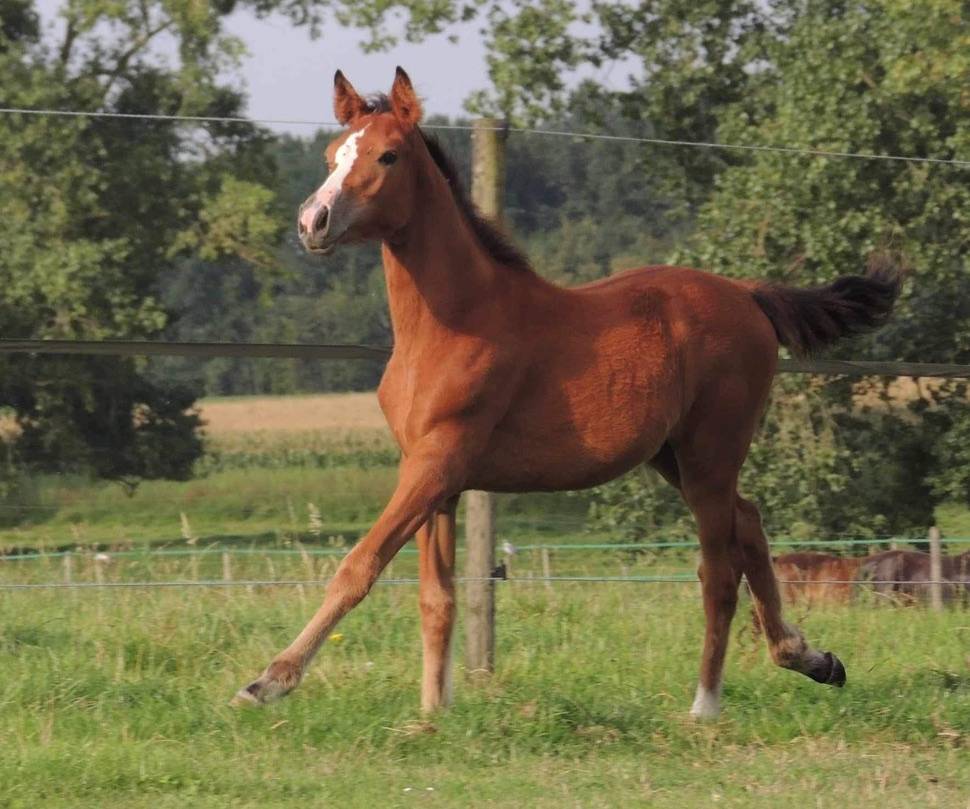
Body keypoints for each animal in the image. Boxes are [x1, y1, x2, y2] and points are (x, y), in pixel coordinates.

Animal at [232, 67, 901, 719]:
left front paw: (268, 682)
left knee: (718, 570)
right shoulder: (431, 475)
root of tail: (748, 294)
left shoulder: (435, 462)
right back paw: (811, 659)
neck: (453, 323)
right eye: (330, 156)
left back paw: (705, 706)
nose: (312, 222)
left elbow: (360, 565)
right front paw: (432, 713)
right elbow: (436, 598)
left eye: (388, 155)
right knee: (750, 521)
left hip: (711, 452)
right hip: (674, 457)